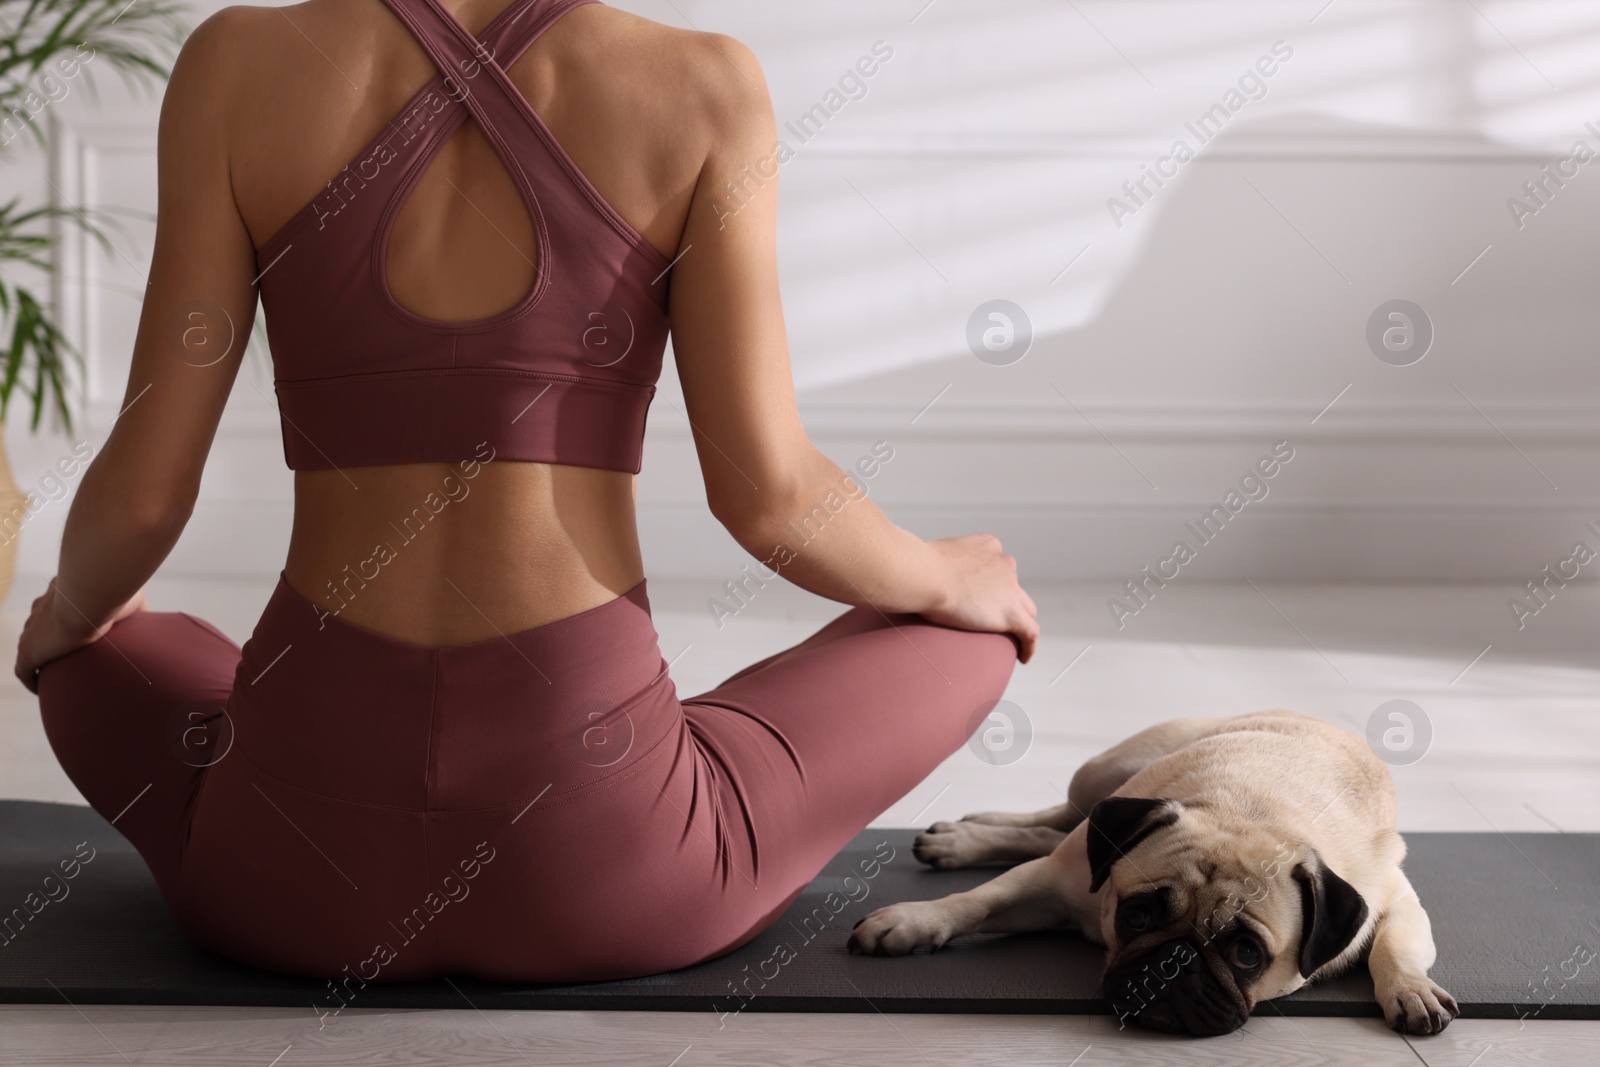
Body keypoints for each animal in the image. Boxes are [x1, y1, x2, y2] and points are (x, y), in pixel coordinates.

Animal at [857, 710, 1459, 1036]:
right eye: (1138, 916)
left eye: (1247, 955)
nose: (1176, 962)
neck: (1248, 810)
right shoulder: (1049, 882)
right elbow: (975, 901)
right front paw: (911, 921)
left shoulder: (1393, 898)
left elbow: (1394, 946)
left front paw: (1410, 989)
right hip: (1101, 777)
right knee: (1054, 821)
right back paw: (964, 837)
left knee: (1051, 830)